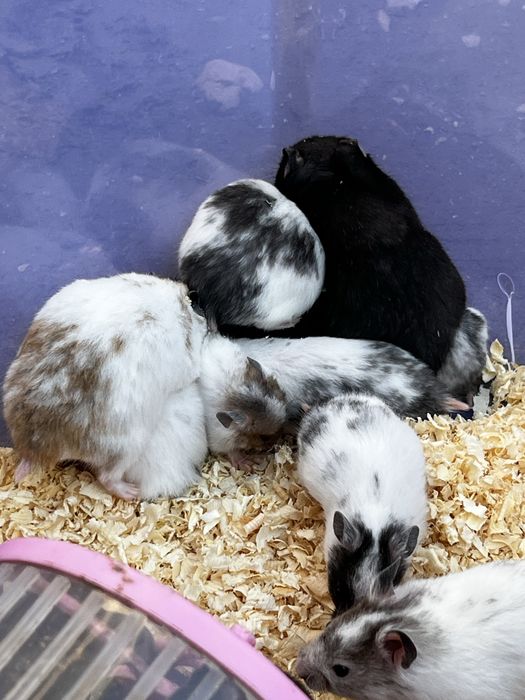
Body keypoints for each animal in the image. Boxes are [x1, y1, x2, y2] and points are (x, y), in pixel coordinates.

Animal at [198, 333, 288, 467]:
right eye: (264, 437)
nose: (279, 441)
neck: (241, 399)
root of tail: (211, 337)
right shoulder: (222, 438)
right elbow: (231, 451)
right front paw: (248, 464)